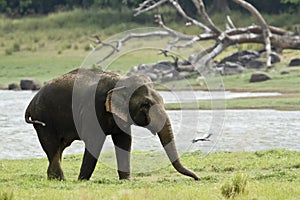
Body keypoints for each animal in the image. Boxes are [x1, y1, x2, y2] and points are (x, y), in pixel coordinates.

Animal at [25, 68, 199, 181]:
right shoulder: (93, 109)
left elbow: (124, 141)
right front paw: (82, 181)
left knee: (59, 148)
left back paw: (54, 178)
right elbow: (94, 142)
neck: (121, 81)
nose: (198, 178)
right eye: (145, 105)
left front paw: (126, 181)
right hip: (44, 118)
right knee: (52, 146)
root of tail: (31, 102)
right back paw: (59, 179)